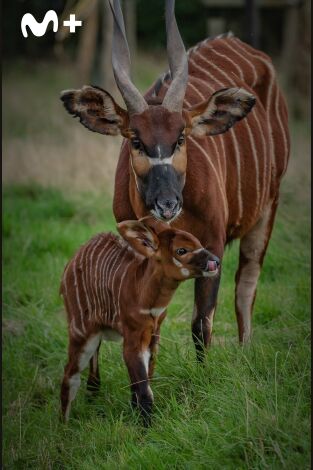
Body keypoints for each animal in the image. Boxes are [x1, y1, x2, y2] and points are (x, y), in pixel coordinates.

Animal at [59, 0, 288, 360]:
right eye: (136, 140)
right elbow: (148, 322)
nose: (166, 204)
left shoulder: (212, 246)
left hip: (269, 205)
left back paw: (246, 350)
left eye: (181, 137)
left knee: (246, 282)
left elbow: (201, 324)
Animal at [59, 218, 218, 424]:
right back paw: (63, 425)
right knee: (70, 374)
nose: (215, 261)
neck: (141, 292)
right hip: (81, 330)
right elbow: (144, 391)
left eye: (198, 242)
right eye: (181, 250)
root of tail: (69, 266)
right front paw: (146, 428)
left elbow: (144, 382)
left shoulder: (154, 335)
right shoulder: (133, 338)